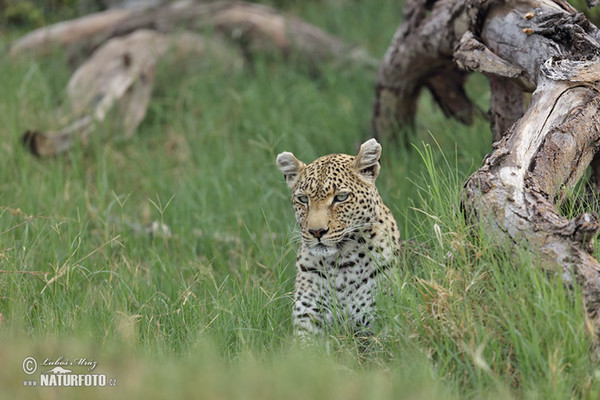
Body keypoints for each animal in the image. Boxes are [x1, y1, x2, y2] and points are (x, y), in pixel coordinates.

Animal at [278, 138, 400, 338]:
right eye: (303, 199)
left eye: (341, 197)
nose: (317, 231)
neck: (340, 263)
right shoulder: (307, 318)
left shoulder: (376, 319)